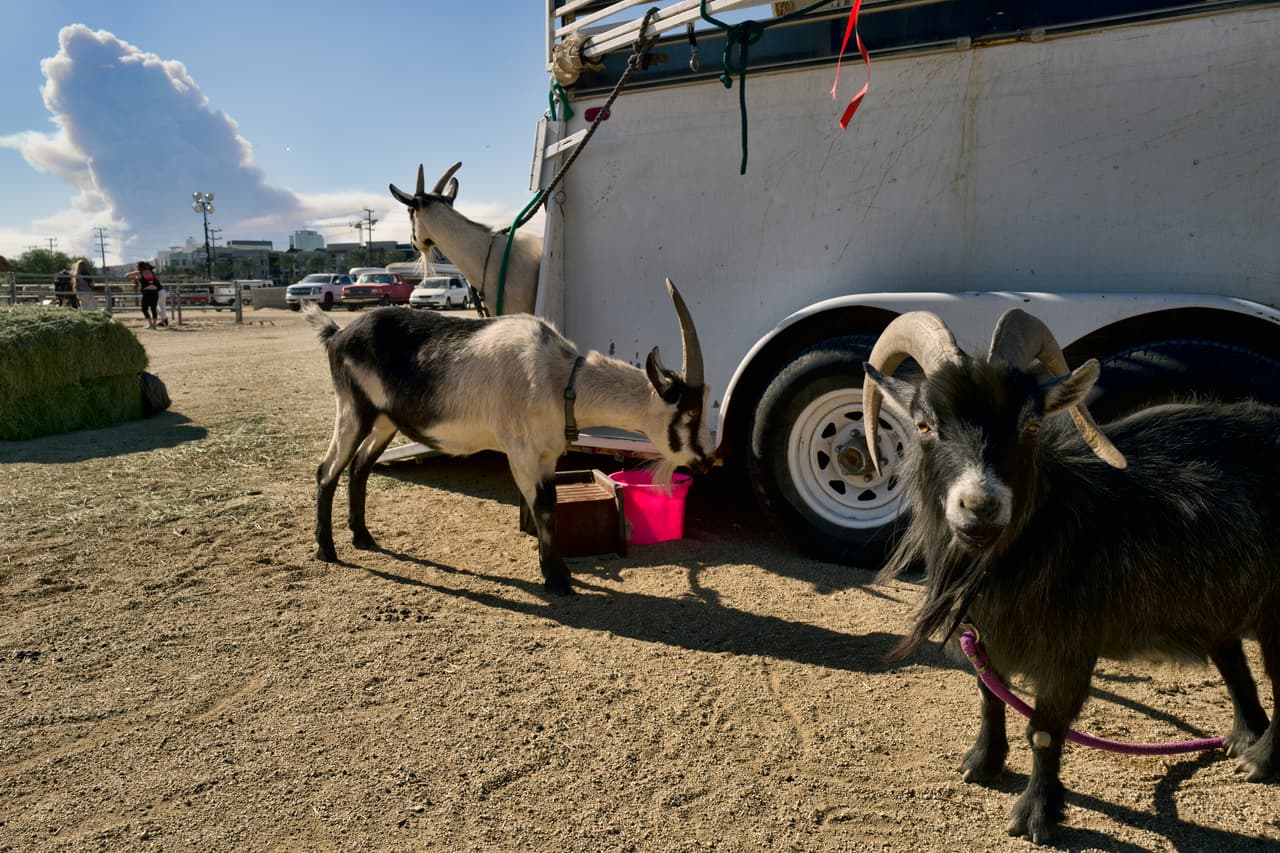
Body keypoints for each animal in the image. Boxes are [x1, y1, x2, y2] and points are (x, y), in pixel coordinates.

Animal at [306, 278, 713, 595]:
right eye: (692, 412)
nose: (708, 460)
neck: (559, 380)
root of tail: (337, 335)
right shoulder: (521, 452)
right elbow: (544, 507)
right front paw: (557, 579)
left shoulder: (548, 456)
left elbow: (550, 505)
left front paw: (557, 570)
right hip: (353, 409)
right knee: (327, 469)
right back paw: (327, 549)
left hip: (384, 420)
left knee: (359, 466)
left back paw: (363, 537)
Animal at [862, 308, 1279, 843]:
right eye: (924, 423)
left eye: (1031, 423)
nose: (980, 506)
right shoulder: (987, 636)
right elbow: (989, 697)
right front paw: (982, 764)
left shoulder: (1071, 645)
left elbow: (1044, 729)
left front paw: (1037, 816)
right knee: (1233, 662)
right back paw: (1243, 739)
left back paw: (1261, 761)